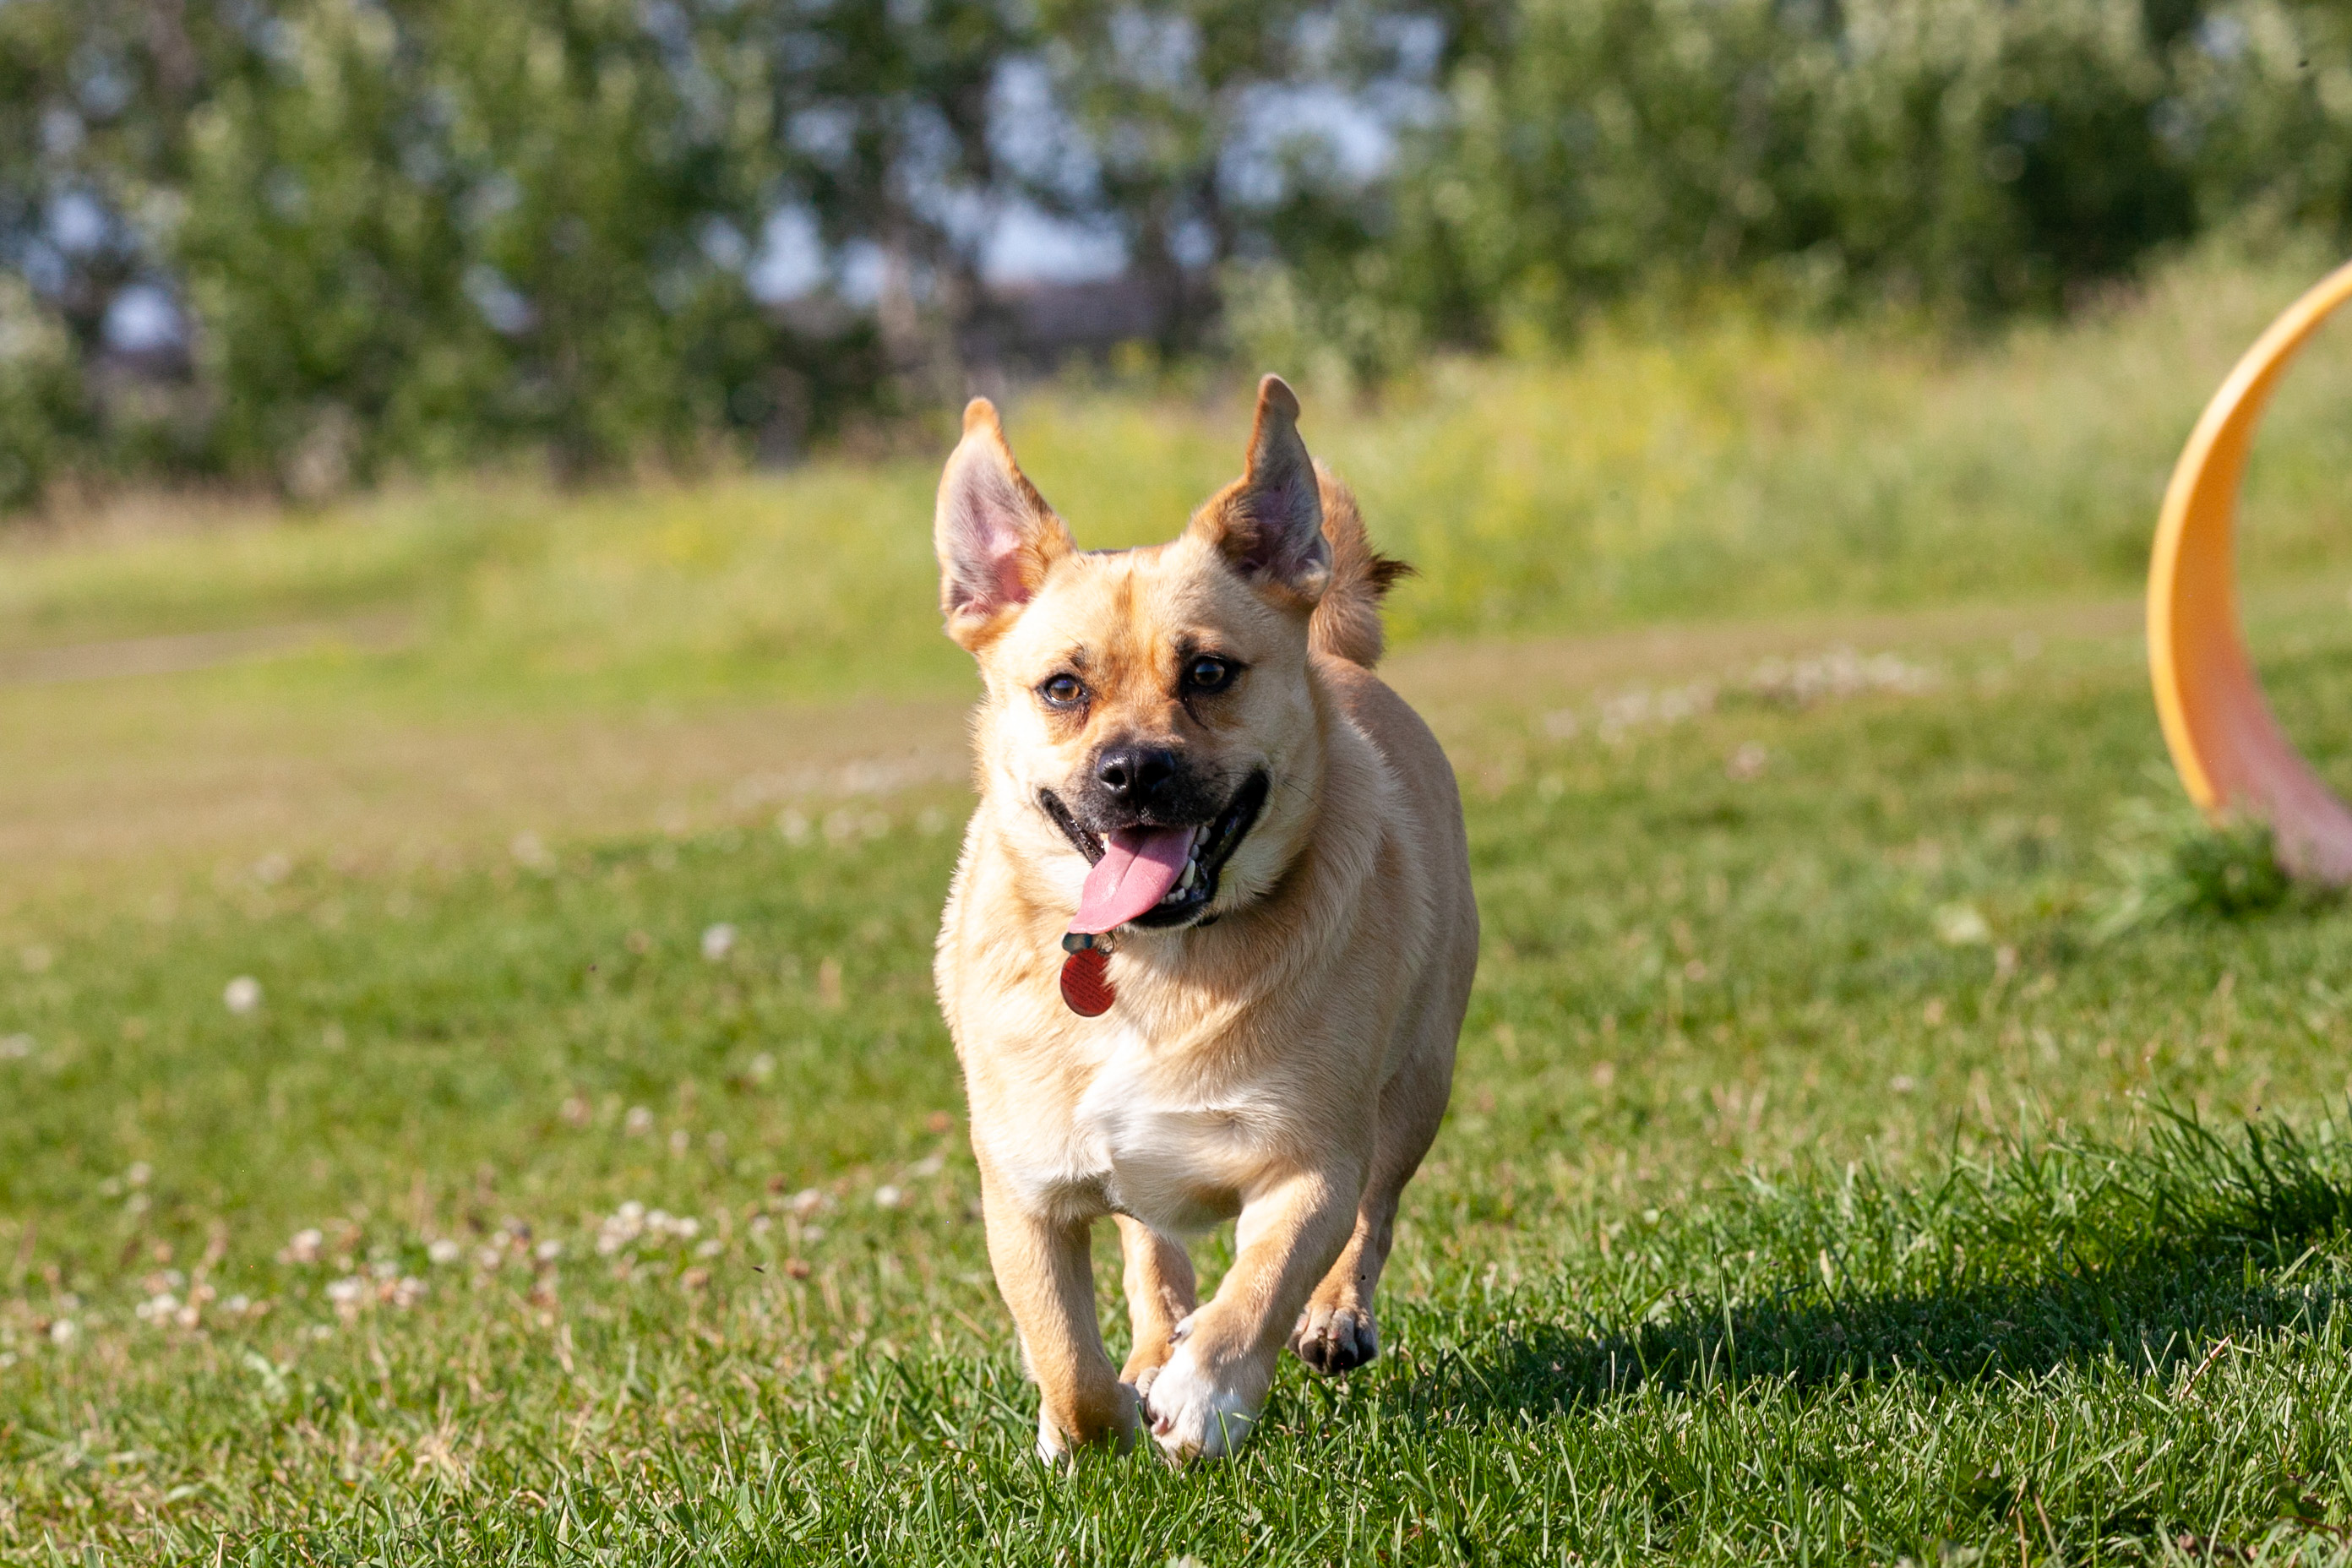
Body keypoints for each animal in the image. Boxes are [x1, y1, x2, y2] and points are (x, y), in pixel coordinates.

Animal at [931, 376, 1467, 1457]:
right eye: (1063, 687)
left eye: (1210, 672)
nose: (1133, 770)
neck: (1156, 959)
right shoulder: (1025, 1191)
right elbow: (1067, 1356)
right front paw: (1096, 1425)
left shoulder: (1309, 1161)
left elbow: (1262, 1283)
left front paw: (1205, 1393)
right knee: (1152, 1254)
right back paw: (1149, 1346)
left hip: (1418, 1082)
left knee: (1374, 1214)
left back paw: (1331, 1315)